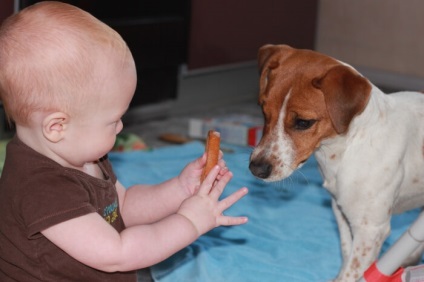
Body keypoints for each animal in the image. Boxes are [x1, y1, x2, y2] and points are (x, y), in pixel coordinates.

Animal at [250, 43, 424, 280]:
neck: (343, 151)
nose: (256, 169)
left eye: (303, 122)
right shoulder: (340, 209)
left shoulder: (371, 229)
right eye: (263, 111)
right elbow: (345, 251)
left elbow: (354, 271)